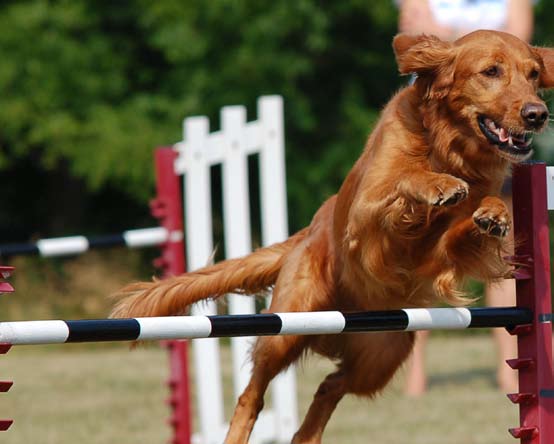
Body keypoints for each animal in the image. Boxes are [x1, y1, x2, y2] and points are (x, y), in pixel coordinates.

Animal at [111, 29, 552, 442]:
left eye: (533, 74)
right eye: (490, 71)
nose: (538, 114)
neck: (449, 147)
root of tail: (307, 233)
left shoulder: (441, 250)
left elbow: (466, 222)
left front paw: (493, 213)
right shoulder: (365, 212)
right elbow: (405, 180)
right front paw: (437, 185)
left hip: (383, 353)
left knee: (331, 385)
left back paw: (306, 436)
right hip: (288, 326)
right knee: (254, 392)